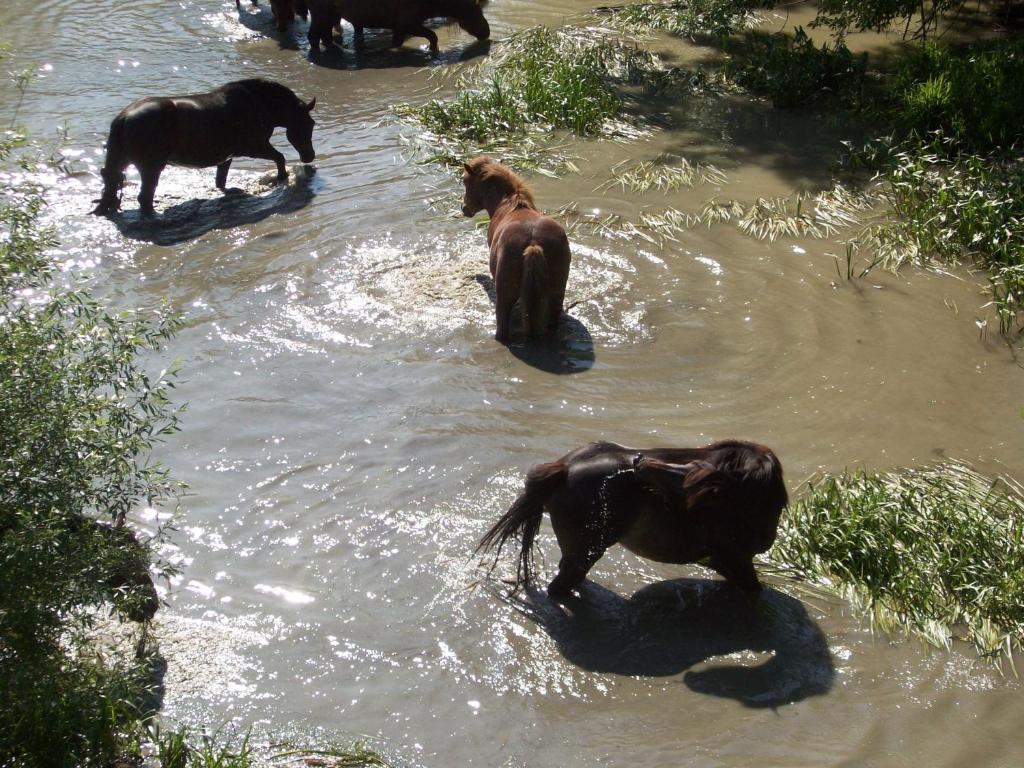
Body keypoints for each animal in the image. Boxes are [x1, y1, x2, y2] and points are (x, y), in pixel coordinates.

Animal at [92, 79, 315, 217]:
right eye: (310, 124)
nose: (310, 156)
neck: (259, 102)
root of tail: (123, 118)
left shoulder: (227, 156)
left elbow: (221, 179)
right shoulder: (255, 146)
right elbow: (280, 158)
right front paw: (282, 178)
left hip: (119, 161)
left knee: (112, 184)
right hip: (151, 168)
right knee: (144, 197)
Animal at [460, 156, 573, 342]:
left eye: (465, 181)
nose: (464, 208)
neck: (510, 204)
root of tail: (533, 244)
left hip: (504, 299)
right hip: (557, 296)